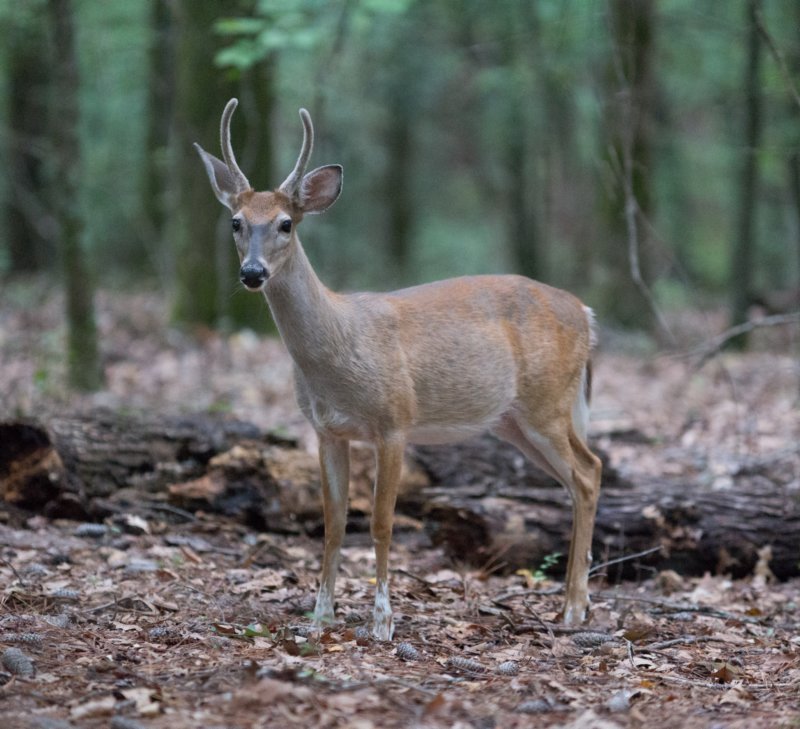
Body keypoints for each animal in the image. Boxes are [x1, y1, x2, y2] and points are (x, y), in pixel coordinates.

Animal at [197, 99, 604, 640]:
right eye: (236, 222)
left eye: (286, 223)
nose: (252, 273)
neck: (339, 346)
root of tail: (585, 313)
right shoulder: (327, 430)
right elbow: (333, 523)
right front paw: (320, 617)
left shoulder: (394, 421)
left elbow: (381, 522)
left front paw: (382, 622)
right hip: (514, 421)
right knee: (580, 477)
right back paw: (573, 605)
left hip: (548, 401)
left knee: (589, 471)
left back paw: (575, 609)